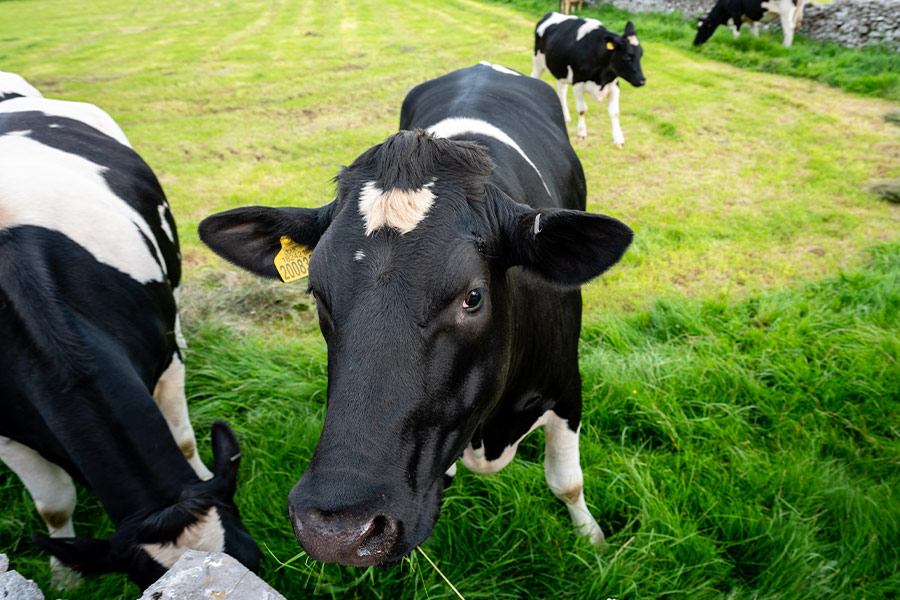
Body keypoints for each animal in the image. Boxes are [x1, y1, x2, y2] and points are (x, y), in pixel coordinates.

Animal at [0, 72, 261, 589]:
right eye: (148, 583)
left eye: (255, 560)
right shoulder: (7, 432)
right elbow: (53, 505)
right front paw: (65, 578)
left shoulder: (165, 361)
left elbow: (183, 437)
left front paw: (198, 468)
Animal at [198, 62, 633, 567]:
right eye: (317, 293)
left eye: (473, 297)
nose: (335, 531)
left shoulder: (566, 386)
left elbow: (567, 482)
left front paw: (593, 541)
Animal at [531, 12, 646, 146]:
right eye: (628, 56)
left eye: (640, 55)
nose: (642, 80)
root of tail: (551, 14)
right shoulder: (578, 83)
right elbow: (582, 109)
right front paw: (581, 132)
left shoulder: (614, 85)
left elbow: (615, 112)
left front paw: (618, 138)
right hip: (538, 62)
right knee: (535, 77)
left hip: (562, 71)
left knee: (561, 90)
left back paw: (565, 116)